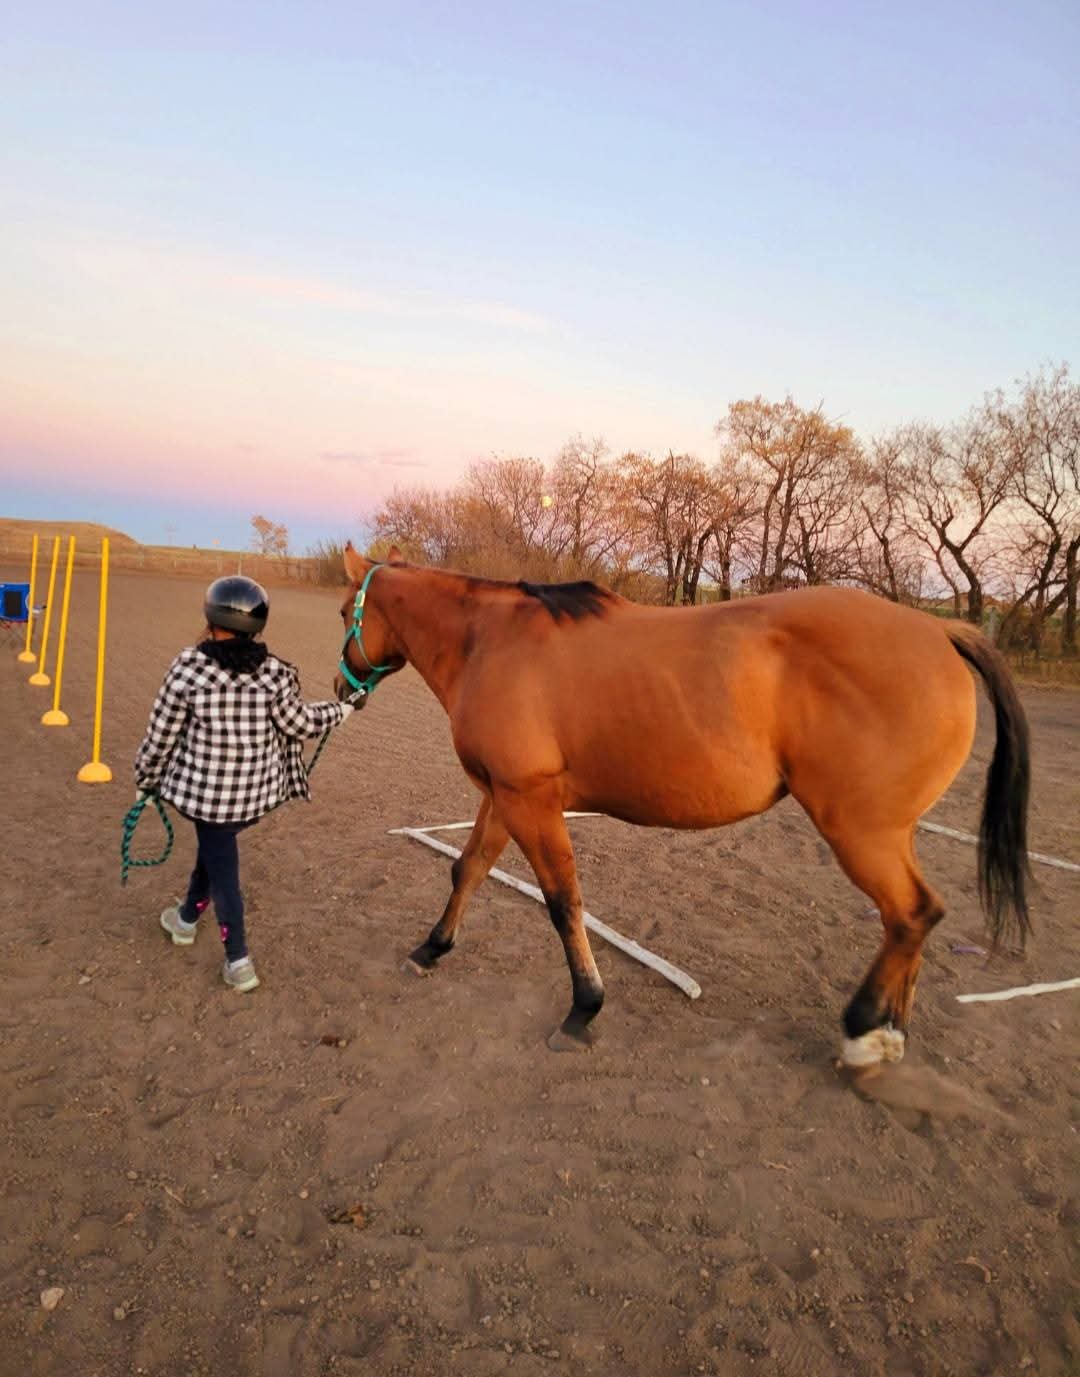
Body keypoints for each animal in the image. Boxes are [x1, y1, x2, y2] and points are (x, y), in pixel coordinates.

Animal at [336, 543, 1031, 1066]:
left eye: (347, 610)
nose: (342, 688)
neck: (492, 641)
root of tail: (938, 627)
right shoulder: (503, 796)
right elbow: (469, 868)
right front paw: (431, 949)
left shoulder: (529, 800)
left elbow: (564, 903)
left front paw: (583, 1008)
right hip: (891, 833)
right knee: (911, 920)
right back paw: (891, 1032)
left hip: (861, 833)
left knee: (912, 914)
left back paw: (863, 1033)